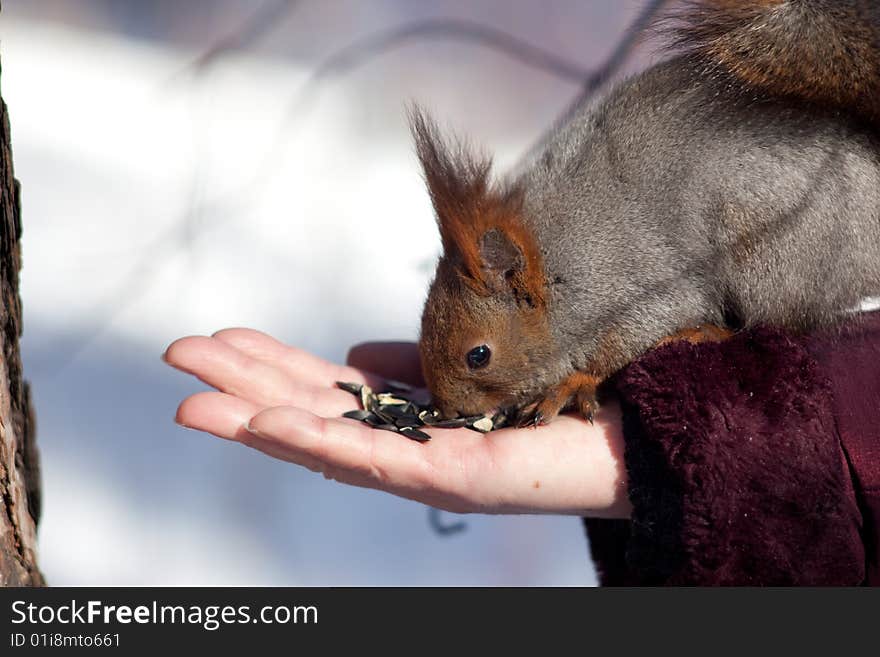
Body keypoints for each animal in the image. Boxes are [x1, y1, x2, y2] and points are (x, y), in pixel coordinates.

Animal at [412, 1, 880, 426]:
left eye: (478, 355)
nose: (447, 411)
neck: (554, 272)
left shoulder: (636, 287)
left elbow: (633, 335)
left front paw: (574, 383)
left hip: (777, 253)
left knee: (778, 322)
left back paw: (701, 331)